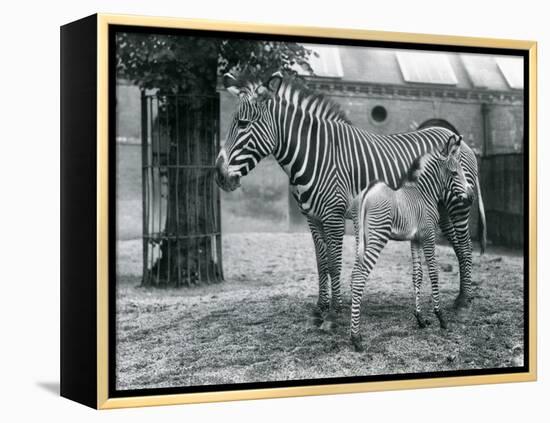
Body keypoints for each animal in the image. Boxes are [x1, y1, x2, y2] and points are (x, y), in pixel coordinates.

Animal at [216, 71, 488, 322]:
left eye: (243, 124)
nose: (219, 176)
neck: (315, 154)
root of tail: (458, 140)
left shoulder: (333, 214)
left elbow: (334, 262)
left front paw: (334, 313)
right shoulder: (312, 217)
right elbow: (321, 262)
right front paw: (321, 307)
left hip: (457, 204)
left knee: (465, 246)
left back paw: (464, 301)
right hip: (440, 208)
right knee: (457, 245)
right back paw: (459, 296)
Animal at [350, 134, 474, 352]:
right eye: (453, 173)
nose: (471, 197)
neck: (424, 193)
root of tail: (368, 191)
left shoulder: (415, 239)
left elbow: (417, 275)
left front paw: (420, 318)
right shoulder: (428, 235)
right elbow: (433, 273)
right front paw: (440, 317)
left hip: (361, 239)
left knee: (355, 273)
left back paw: (353, 333)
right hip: (377, 237)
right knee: (359, 278)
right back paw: (356, 338)